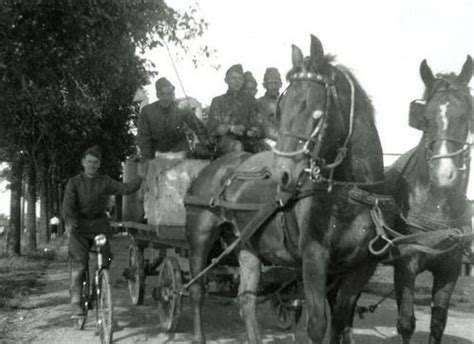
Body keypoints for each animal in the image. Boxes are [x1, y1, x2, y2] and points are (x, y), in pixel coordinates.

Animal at [185, 35, 388, 344]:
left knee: (246, 299)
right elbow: (317, 324)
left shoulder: (360, 267)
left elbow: (341, 320)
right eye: (281, 109)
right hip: (200, 235)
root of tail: (212, 167)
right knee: (197, 289)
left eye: (311, 106)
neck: (348, 197)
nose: (282, 173)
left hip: (246, 243)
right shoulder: (314, 260)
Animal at [386, 57, 474, 344]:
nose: (444, 173)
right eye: (425, 118)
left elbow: (438, 323)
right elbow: (406, 323)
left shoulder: (450, 270)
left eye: (466, 115)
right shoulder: (405, 265)